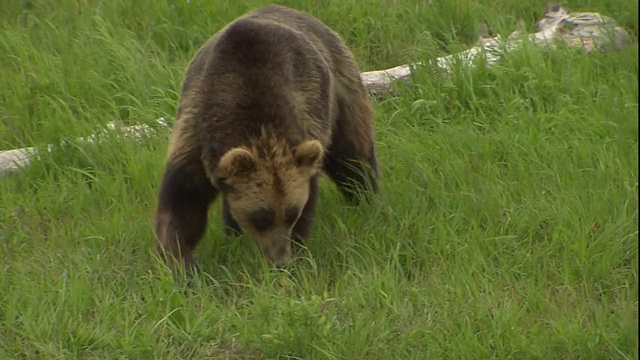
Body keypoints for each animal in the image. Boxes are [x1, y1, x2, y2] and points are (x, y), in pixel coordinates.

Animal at [152, 4, 378, 272]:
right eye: (262, 217)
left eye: (292, 213)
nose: (280, 260)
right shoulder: (195, 135)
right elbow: (182, 202)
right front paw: (180, 262)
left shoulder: (305, 124)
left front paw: (299, 255)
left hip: (342, 91)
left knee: (353, 155)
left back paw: (368, 200)